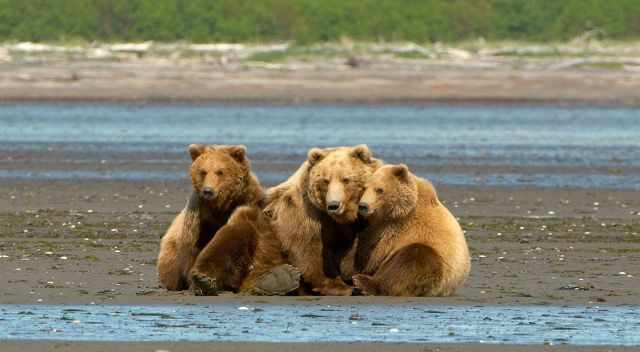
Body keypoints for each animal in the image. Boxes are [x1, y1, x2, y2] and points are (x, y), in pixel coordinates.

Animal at [156, 144, 264, 292]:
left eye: (220, 172)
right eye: (203, 172)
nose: (208, 191)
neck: (220, 207)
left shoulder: (248, 200)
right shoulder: (201, 219)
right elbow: (196, 248)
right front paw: (197, 281)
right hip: (171, 249)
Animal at [352, 164, 468, 296]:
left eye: (379, 190)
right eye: (364, 188)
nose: (363, 206)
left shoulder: (398, 227)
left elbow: (378, 251)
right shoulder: (377, 226)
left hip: (441, 269)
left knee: (415, 258)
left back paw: (363, 283)